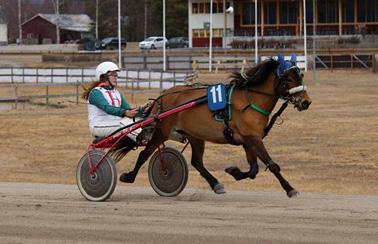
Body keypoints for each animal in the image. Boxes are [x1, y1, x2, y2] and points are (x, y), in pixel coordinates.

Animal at [116, 54, 312, 197]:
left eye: (301, 75)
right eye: (289, 79)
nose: (306, 102)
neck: (251, 100)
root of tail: (164, 95)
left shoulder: (247, 140)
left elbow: (253, 169)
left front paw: (233, 171)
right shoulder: (252, 137)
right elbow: (271, 165)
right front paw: (290, 189)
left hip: (195, 136)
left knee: (196, 162)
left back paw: (216, 184)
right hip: (162, 131)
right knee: (144, 154)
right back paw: (129, 176)